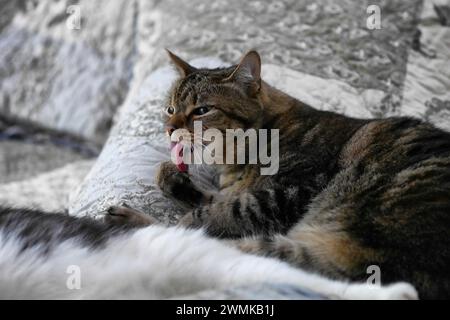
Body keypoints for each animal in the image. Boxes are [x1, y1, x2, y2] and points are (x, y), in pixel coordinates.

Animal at [110, 50, 450, 300]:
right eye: (169, 109)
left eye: (202, 110)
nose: (169, 129)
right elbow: (204, 197)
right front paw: (175, 178)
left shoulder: (294, 192)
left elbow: (213, 214)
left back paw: (129, 223)